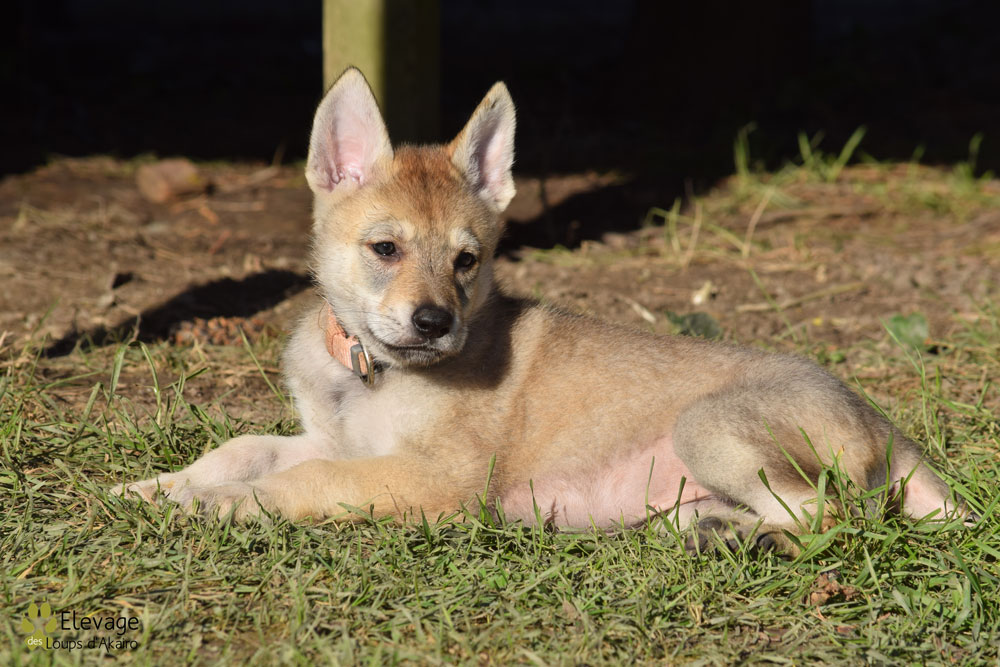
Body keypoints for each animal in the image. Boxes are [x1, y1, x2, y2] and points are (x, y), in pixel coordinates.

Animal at [112, 68, 964, 553]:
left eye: (468, 260)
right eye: (385, 248)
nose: (434, 323)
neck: (370, 374)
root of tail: (887, 425)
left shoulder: (434, 480)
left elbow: (302, 483)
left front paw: (217, 506)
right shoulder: (334, 440)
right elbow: (240, 449)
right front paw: (155, 488)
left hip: (709, 427)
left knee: (835, 517)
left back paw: (731, 538)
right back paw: (703, 526)